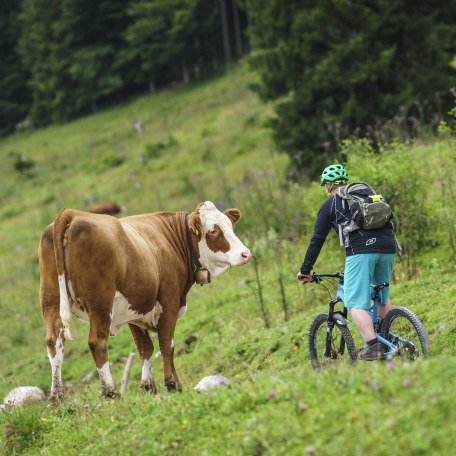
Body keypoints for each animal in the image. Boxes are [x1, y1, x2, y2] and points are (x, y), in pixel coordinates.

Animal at [39, 201, 251, 400]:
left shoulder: (135, 310)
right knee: (97, 342)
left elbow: (145, 348)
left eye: (230, 225)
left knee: (54, 342)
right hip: (100, 303)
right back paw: (110, 392)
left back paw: (56, 398)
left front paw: (149, 386)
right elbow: (167, 344)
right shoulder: (169, 301)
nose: (246, 254)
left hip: (51, 301)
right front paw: (172, 384)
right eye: (213, 231)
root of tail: (71, 214)